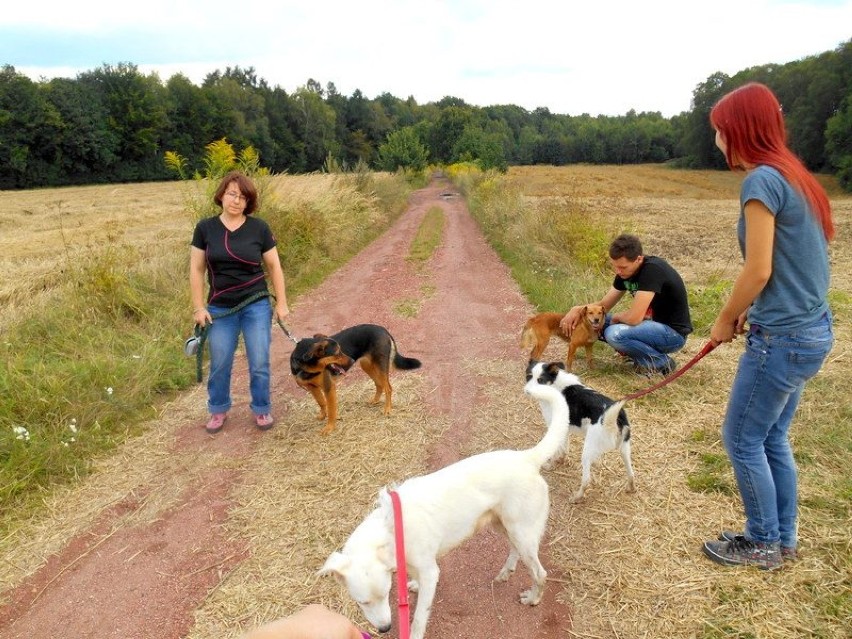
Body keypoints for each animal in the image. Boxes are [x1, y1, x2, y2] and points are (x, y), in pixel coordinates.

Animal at [288, 324, 422, 436]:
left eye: (341, 350)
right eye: (337, 353)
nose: (352, 361)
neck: (305, 367)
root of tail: (383, 329)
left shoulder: (329, 388)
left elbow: (331, 409)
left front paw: (330, 427)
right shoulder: (312, 388)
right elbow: (321, 403)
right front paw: (322, 415)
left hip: (380, 365)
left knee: (388, 388)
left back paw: (387, 409)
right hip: (366, 365)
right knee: (379, 384)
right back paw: (375, 401)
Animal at [320, 376, 580, 639]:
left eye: (385, 594)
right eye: (361, 602)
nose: (385, 628)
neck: (394, 527)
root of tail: (527, 458)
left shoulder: (430, 573)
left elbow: (418, 618)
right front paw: (413, 585)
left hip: (521, 530)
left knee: (540, 573)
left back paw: (533, 598)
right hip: (504, 525)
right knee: (515, 551)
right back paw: (506, 572)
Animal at [524, 362, 636, 502]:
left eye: (540, 380)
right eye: (529, 377)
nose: (527, 391)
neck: (555, 384)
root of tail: (614, 417)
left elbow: (558, 451)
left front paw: (551, 465)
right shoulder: (565, 429)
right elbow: (564, 450)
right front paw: (561, 461)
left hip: (587, 451)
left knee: (586, 480)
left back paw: (576, 497)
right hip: (624, 449)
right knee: (631, 473)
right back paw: (630, 488)